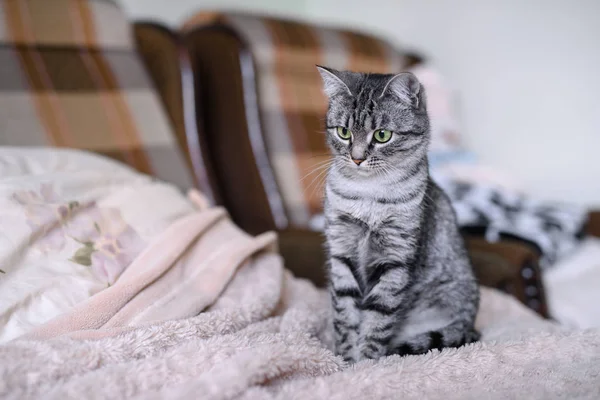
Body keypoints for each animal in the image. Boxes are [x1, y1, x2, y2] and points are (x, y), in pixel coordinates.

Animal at [316, 66, 480, 362]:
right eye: (344, 132)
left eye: (382, 135)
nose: (357, 158)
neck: (367, 195)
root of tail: (469, 325)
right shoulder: (341, 252)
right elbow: (345, 315)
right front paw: (346, 359)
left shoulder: (396, 259)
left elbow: (378, 319)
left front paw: (366, 363)